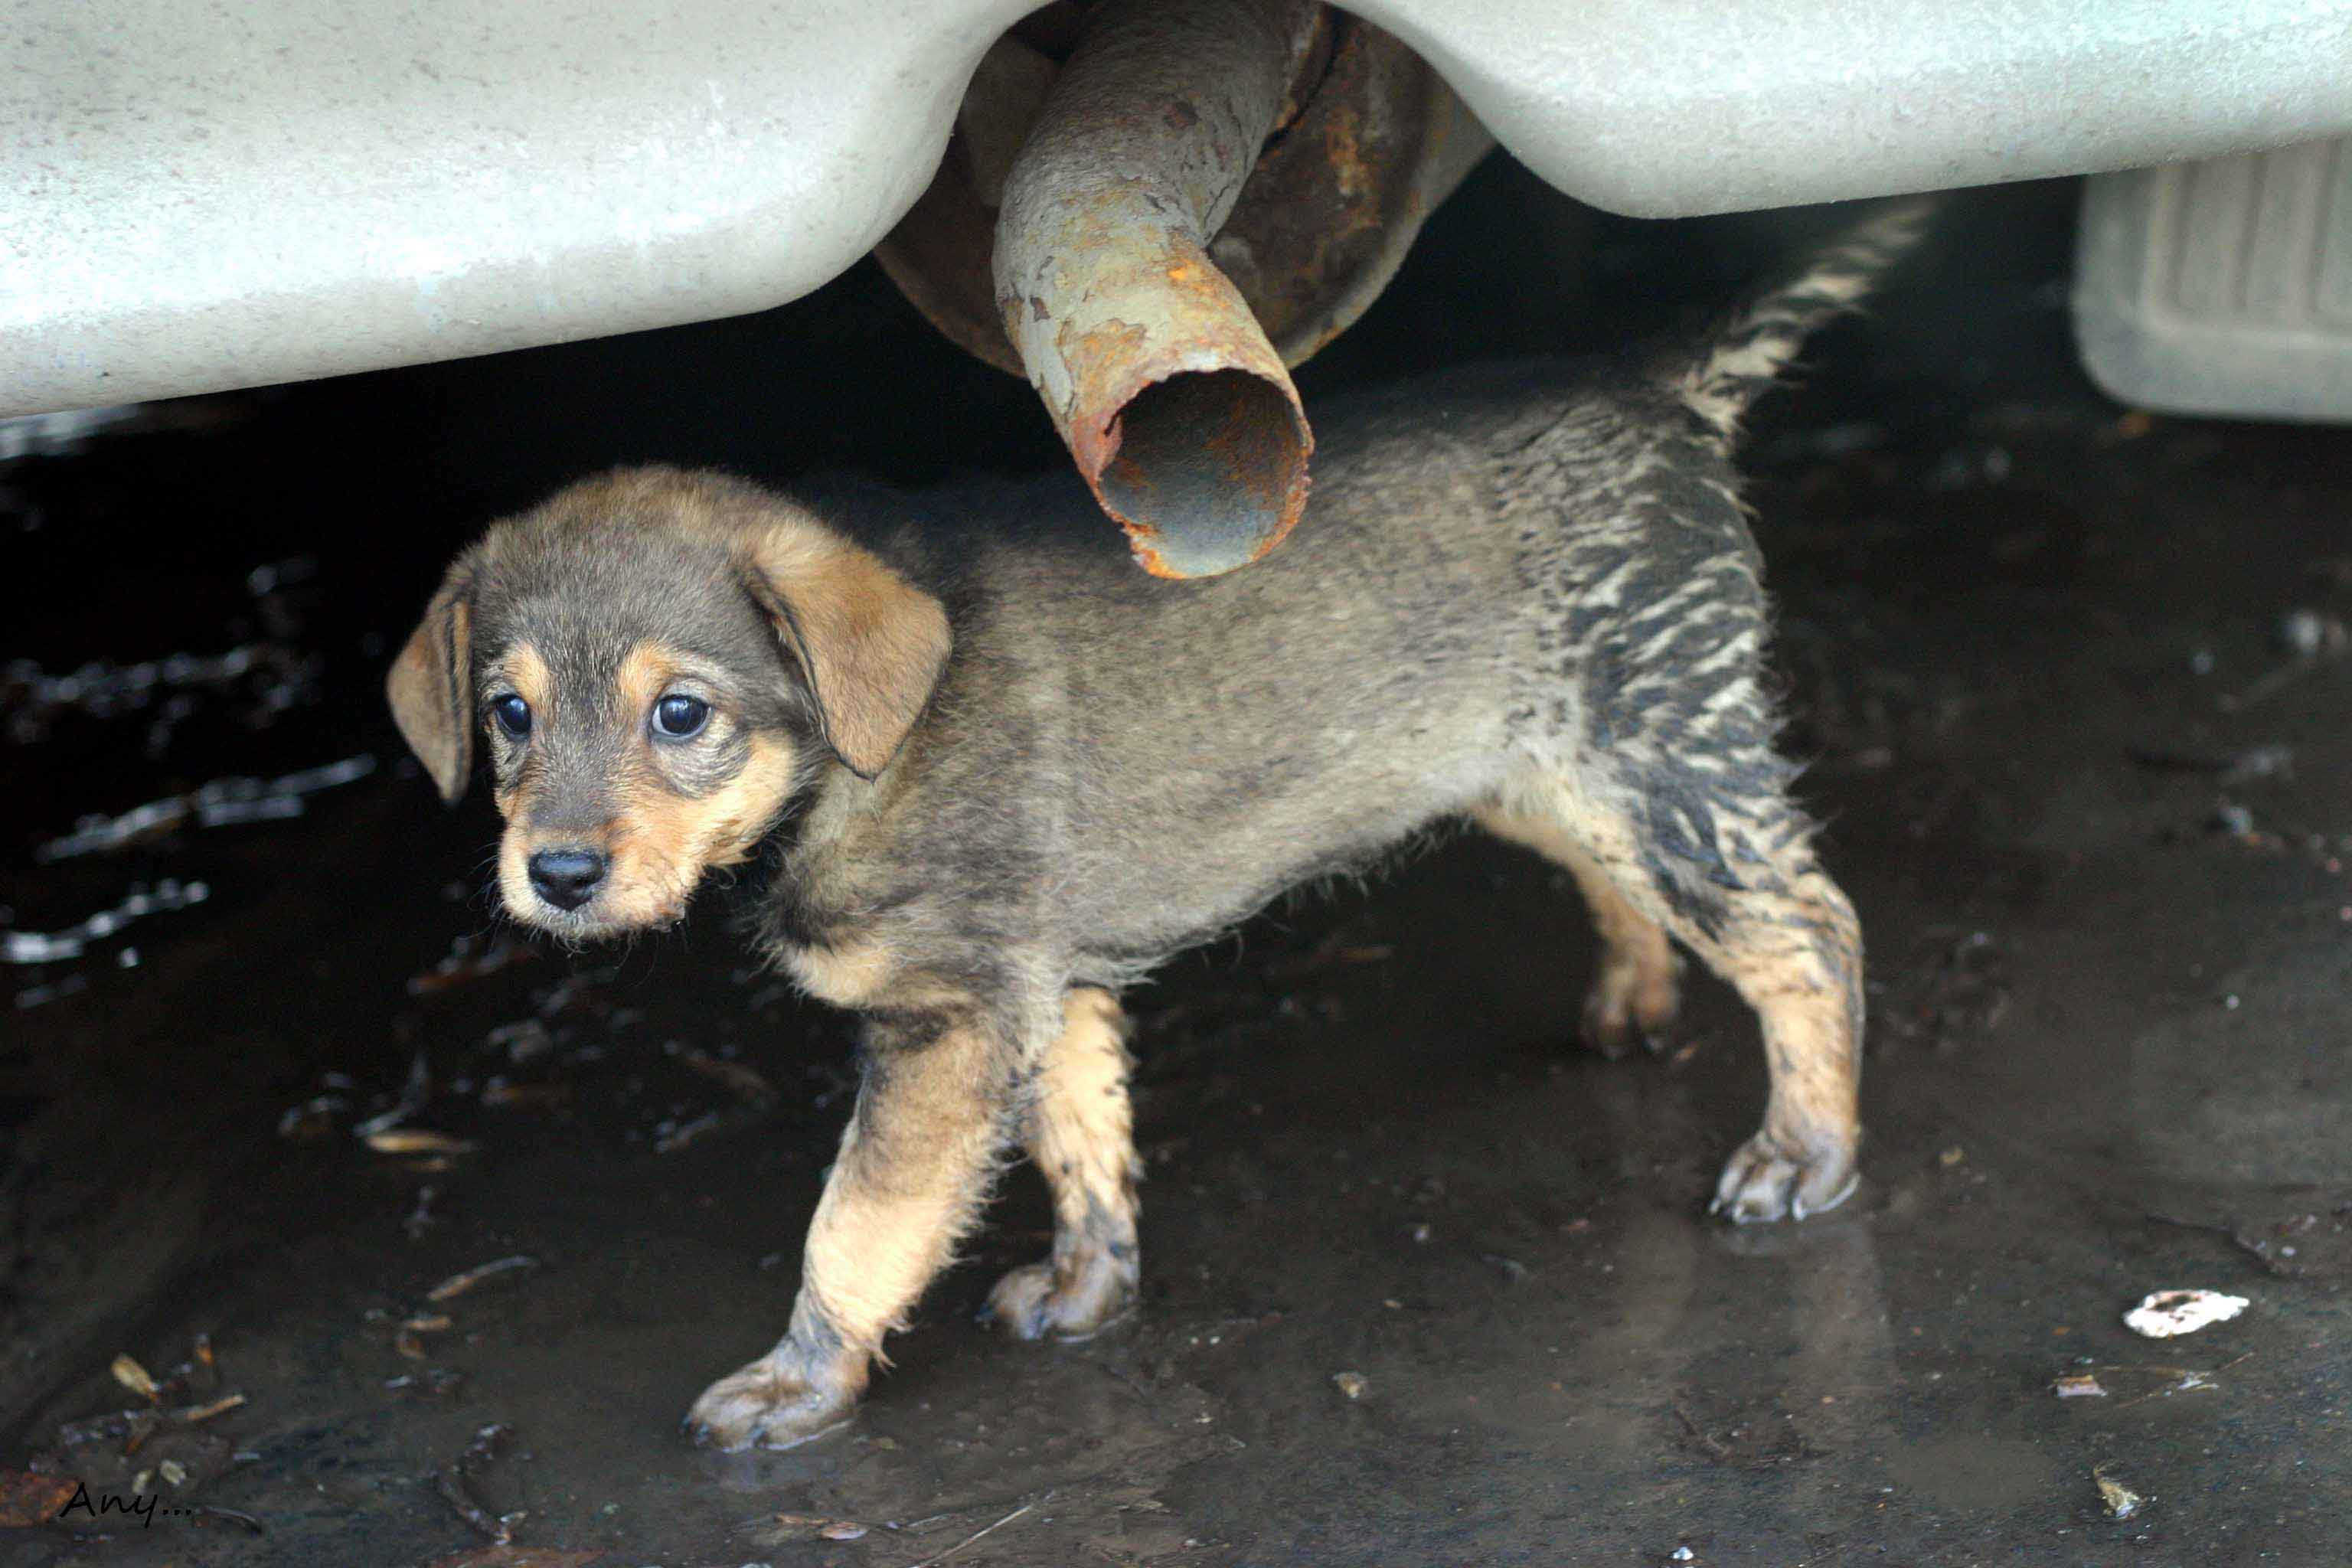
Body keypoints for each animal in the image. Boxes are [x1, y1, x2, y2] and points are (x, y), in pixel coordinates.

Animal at [385, 202, 1929, 1457]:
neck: (848, 762)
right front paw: (1091, 1291)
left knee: (1810, 927)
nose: (556, 876)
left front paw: (798, 1382)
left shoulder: (952, 1017)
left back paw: (1805, 1154)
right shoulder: (1045, 984)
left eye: (682, 714)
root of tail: (1653, 388)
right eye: (509, 715)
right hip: (1539, 762)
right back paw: (1632, 1000)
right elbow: (1086, 1147)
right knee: (1648, 890)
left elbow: (858, 1221)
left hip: (1654, 745)